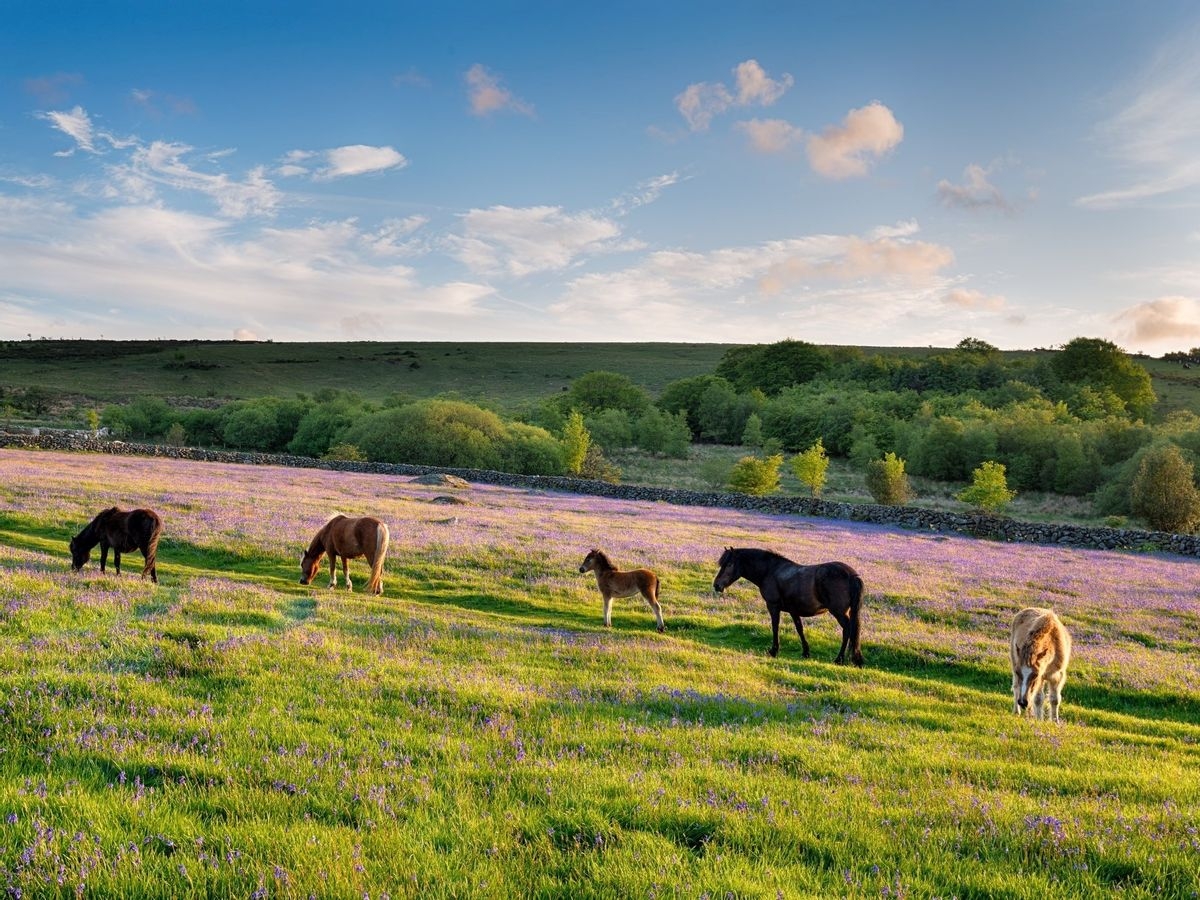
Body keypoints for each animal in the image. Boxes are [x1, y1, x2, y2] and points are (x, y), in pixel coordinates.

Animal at [710, 547, 864, 667]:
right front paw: (806, 652)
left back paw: (839, 659)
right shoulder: (793, 611)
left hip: (838, 612)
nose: (717, 585)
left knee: (847, 629)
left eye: (729, 564)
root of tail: (852, 575)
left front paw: (774, 650)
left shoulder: (773, 606)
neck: (770, 571)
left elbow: (775, 626)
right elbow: (799, 629)